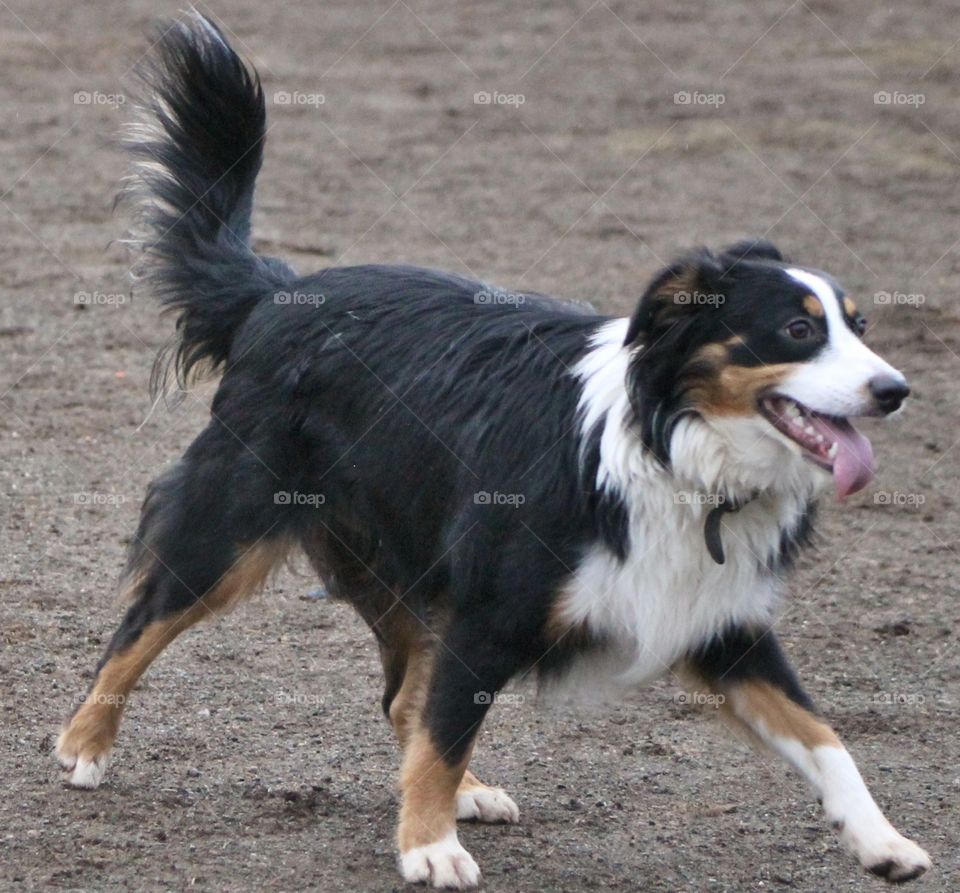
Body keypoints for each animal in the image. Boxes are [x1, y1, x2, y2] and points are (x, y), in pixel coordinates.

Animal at [58, 13, 928, 884]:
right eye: (798, 330)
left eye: (860, 326)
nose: (895, 389)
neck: (678, 453)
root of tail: (276, 292)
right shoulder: (491, 611)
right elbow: (445, 729)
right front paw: (429, 847)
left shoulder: (723, 624)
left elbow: (825, 735)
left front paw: (882, 840)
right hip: (234, 529)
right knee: (138, 630)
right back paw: (83, 744)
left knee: (403, 697)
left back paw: (469, 791)